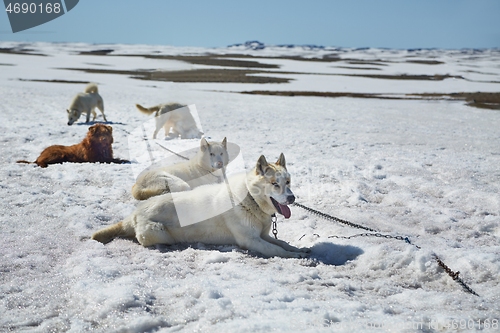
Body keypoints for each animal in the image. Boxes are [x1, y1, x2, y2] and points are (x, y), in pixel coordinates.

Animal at [90, 152, 308, 256]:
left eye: (288, 182)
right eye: (274, 184)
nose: (292, 199)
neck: (250, 199)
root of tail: (134, 214)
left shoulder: (263, 236)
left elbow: (282, 243)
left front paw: (298, 250)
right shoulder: (251, 241)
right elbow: (277, 250)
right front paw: (294, 256)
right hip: (160, 233)